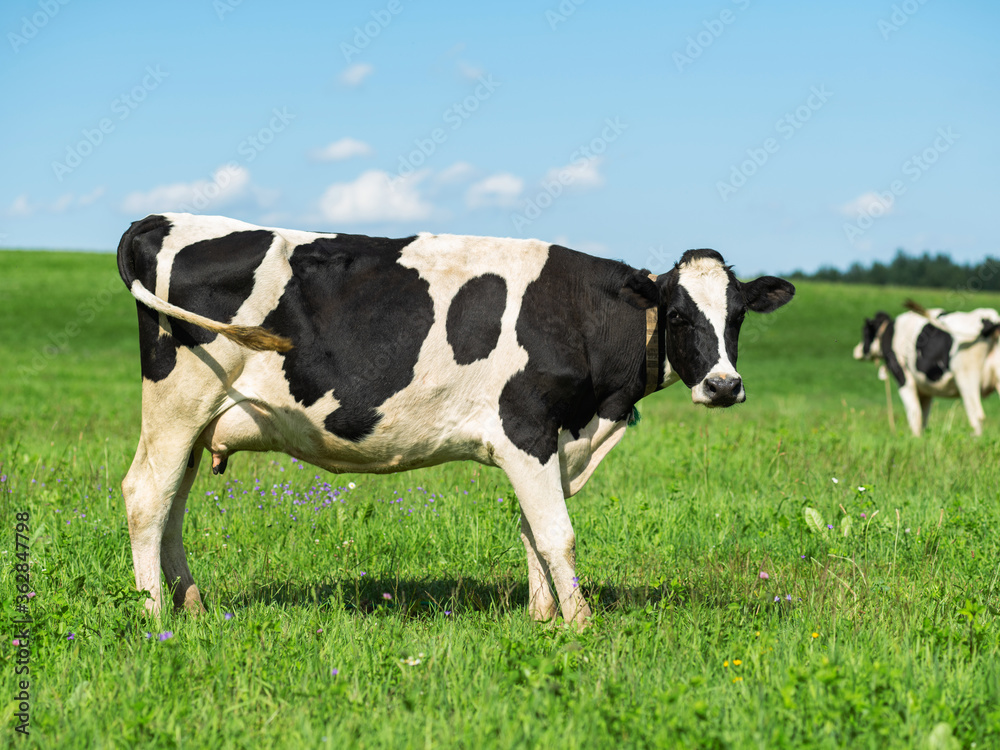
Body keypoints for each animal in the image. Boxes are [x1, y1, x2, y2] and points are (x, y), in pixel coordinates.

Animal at [117, 213, 792, 628]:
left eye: (736, 316)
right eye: (677, 315)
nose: (724, 385)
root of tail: (162, 219)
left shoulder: (548, 440)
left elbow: (530, 531)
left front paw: (542, 618)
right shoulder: (527, 428)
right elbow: (557, 534)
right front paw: (580, 624)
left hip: (198, 421)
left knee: (173, 504)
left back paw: (193, 605)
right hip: (178, 401)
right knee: (147, 495)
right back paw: (154, 616)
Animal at [852, 302, 1000, 438]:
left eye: (865, 331)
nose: (856, 351)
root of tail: (991, 319)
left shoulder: (904, 378)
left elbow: (914, 413)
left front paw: (914, 439)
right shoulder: (925, 390)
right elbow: (924, 416)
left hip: (966, 377)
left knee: (976, 415)